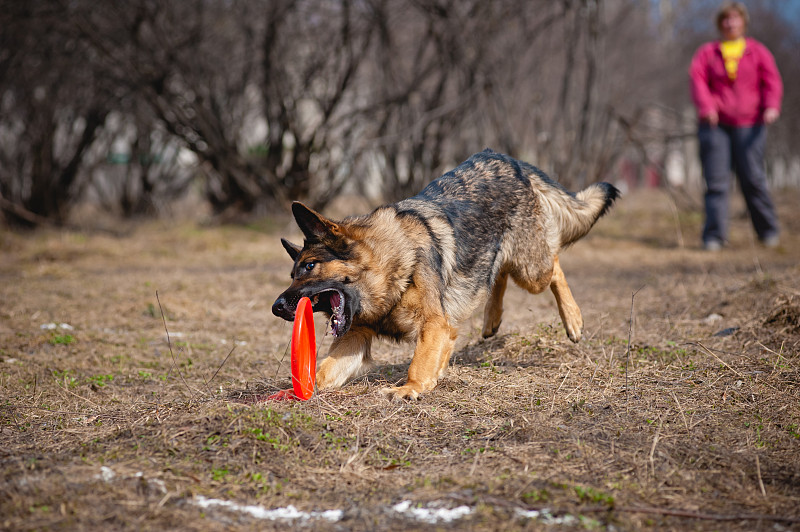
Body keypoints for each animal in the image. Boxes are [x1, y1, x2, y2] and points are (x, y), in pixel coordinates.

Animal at [274, 150, 620, 400]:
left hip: (531, 270)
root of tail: (511, 161)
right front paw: (295, 389)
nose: (277, 308)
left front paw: (410, 388)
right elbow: (325, 369)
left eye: (309, 267)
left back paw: (573, 320)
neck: (389, 266)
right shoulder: (355, 337)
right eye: (292, 272)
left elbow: (419, 361)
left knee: (553, 264)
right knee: (496, 274)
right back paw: (491, 319)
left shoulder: (433, 323)